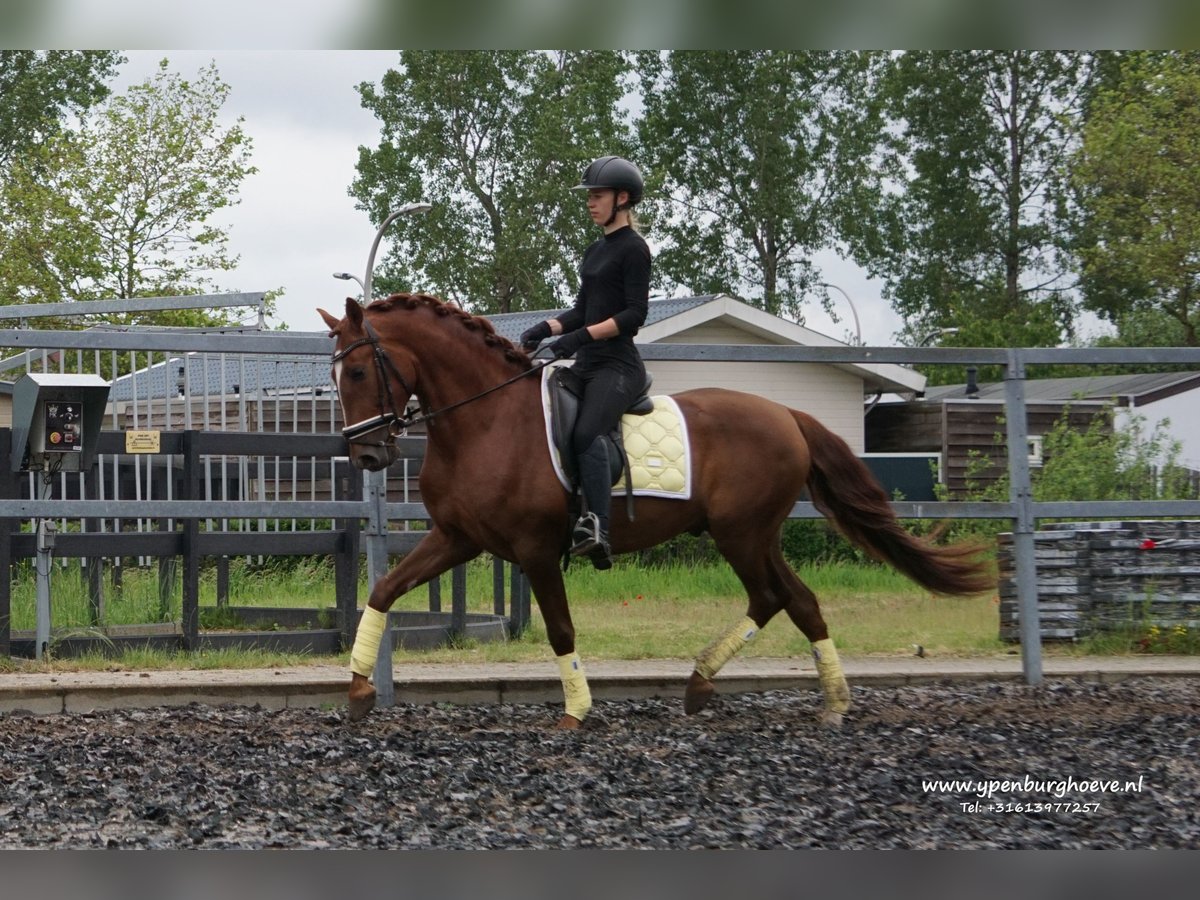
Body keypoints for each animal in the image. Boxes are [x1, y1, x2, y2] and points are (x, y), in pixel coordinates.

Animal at [319, 296, 993, 734]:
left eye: (359, 369)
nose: (367, 454)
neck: (485, 420)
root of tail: (787, 414)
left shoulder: (535, 551)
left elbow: (560, 629)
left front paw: (576, 711)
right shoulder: (458, 537)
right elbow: (383, 590)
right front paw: (358, 688)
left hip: (742, 534)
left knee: (775, 597)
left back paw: (755, 688)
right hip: (754, 534)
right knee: (793, 599)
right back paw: (806, 697)